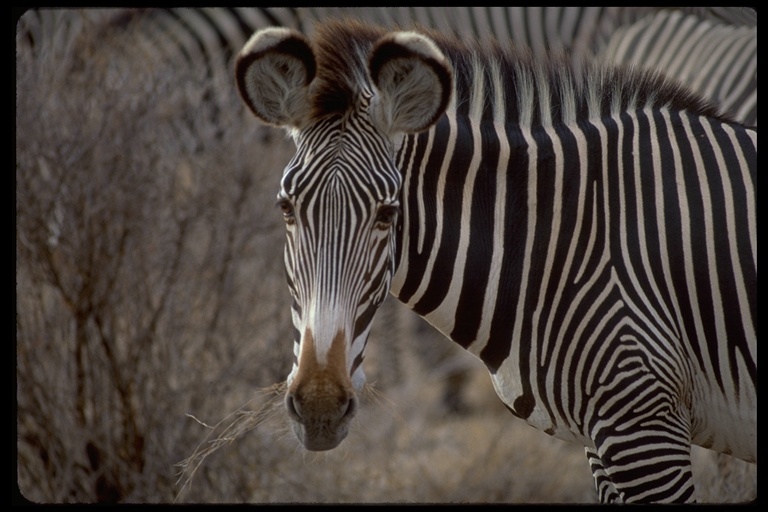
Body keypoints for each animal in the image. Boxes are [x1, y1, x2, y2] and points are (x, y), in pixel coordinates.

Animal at [234, 18, 756, 502]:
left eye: (388, 213)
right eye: (286, 209)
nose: (319, 404)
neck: (566, 239)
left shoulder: (645, 426)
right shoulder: (604, 439)